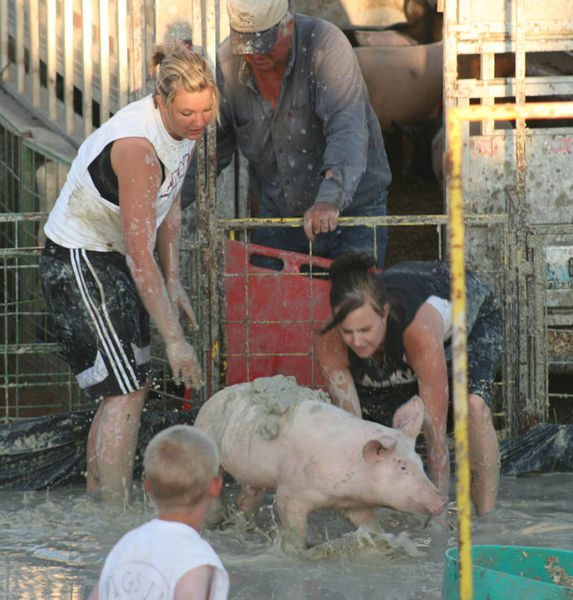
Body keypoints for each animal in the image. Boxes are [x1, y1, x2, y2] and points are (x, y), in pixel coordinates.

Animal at [194, 378, 450, 548]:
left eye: (419, 463)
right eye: (402, 467)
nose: (442, 499)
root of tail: (211, 398)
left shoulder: (356, 505)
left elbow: (370, 527)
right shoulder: (290, 492)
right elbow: (293, 526)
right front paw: (299, 549)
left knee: (248, 497)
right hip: (208, 438)